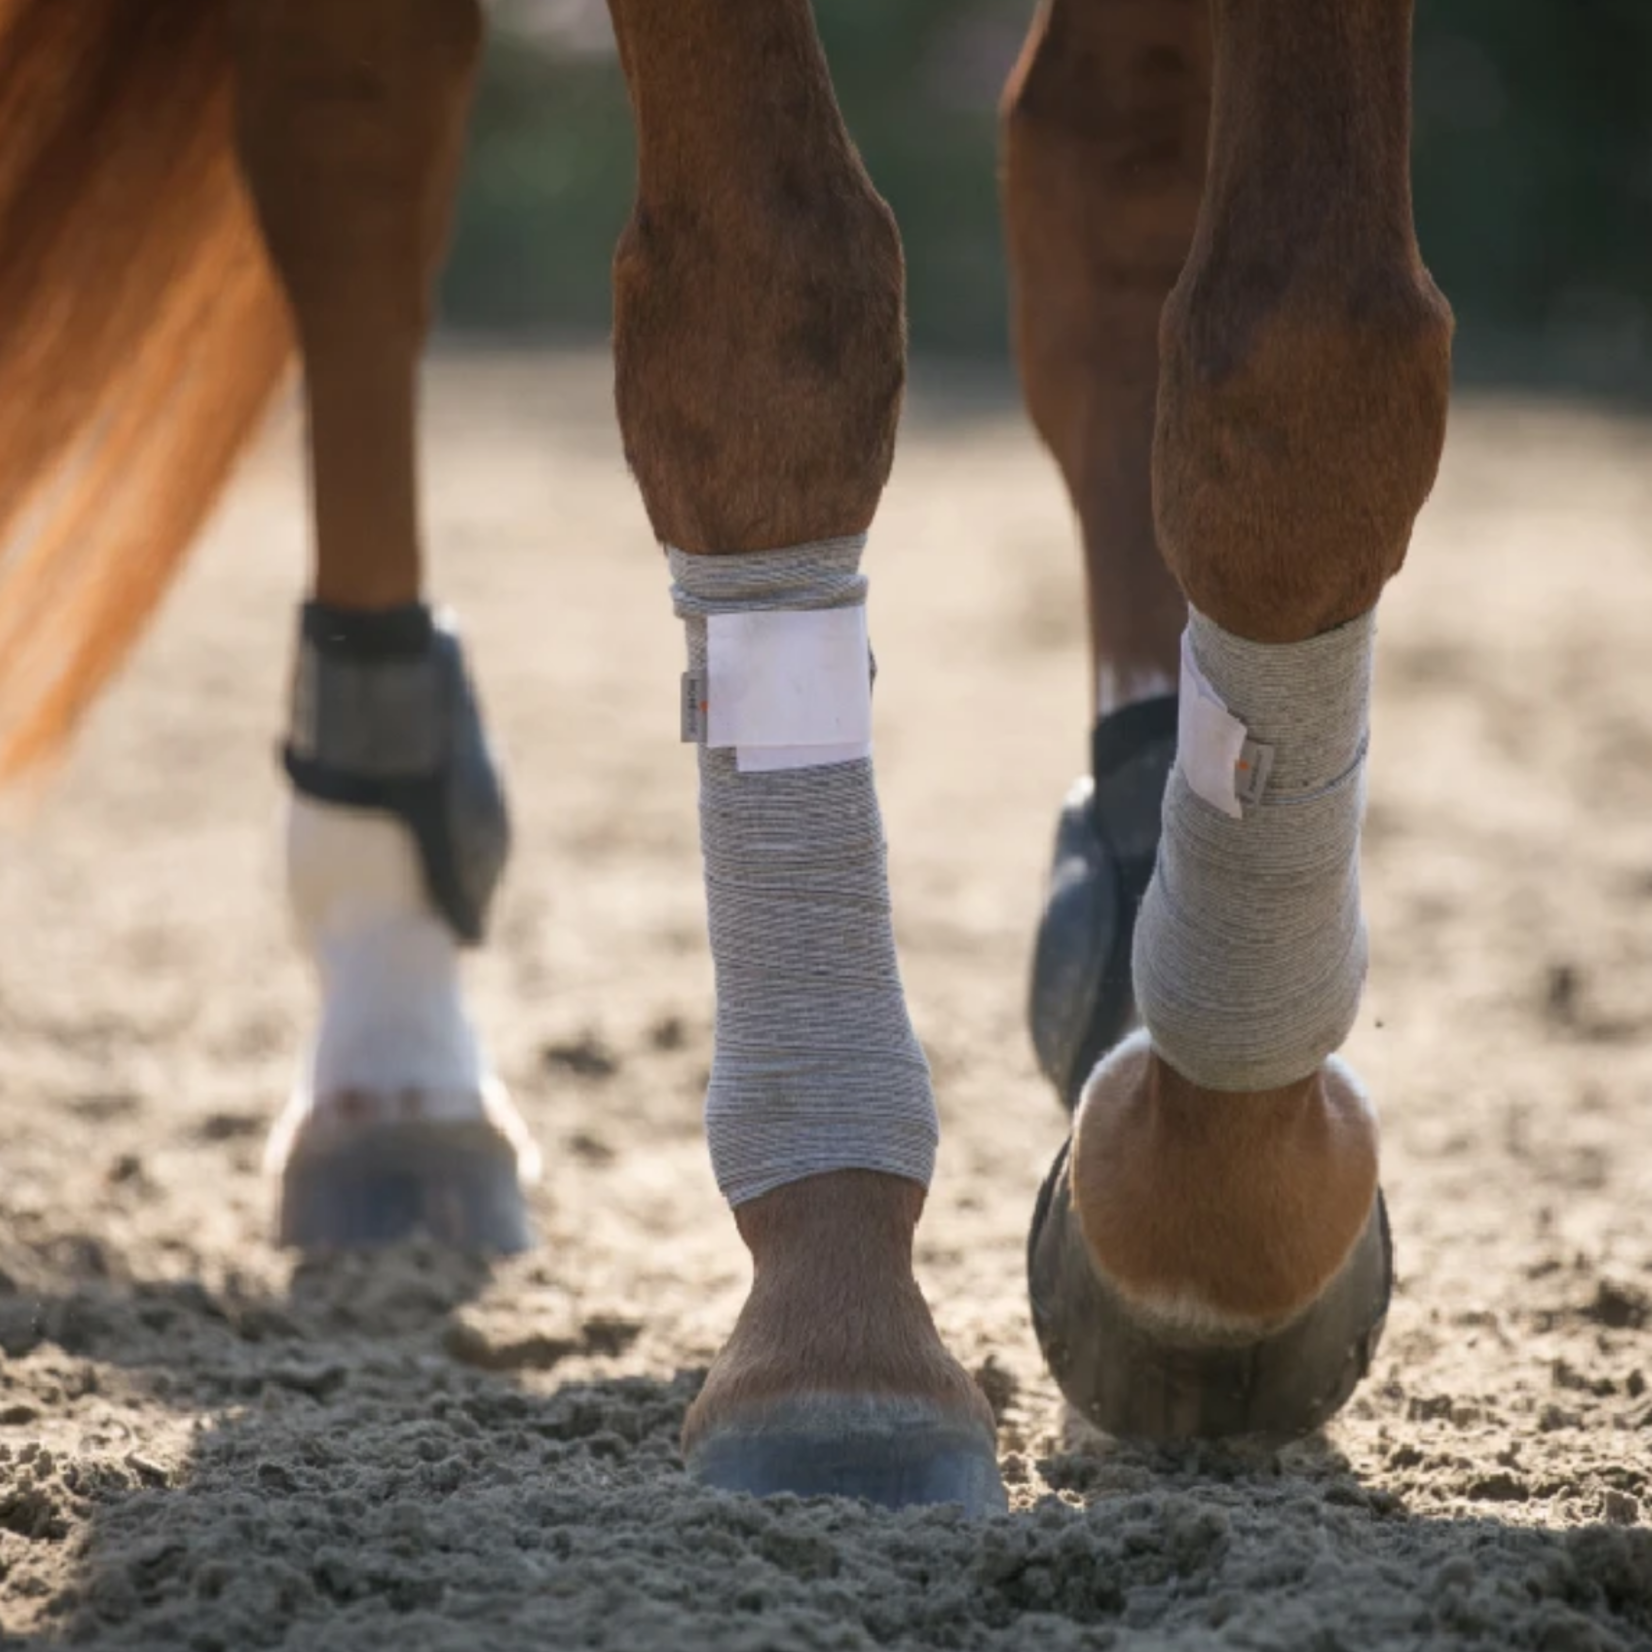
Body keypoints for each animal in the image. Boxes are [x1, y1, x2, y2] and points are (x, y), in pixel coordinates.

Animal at [0, 0, 1452, 1515]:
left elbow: (1302, 357)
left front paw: (1208, 1216)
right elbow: (768, 306)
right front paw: (841, 1328)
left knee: (1100, 165)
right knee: (352, 145)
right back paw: (393, 1056)